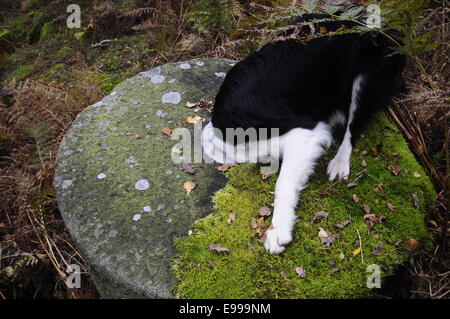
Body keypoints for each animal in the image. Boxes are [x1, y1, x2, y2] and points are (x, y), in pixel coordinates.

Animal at [202, 14, 406, 255]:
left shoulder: (305, 133)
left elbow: (282, 183)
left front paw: (278, 230)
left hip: (366, 77)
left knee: (354, 124)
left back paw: (339, 162)